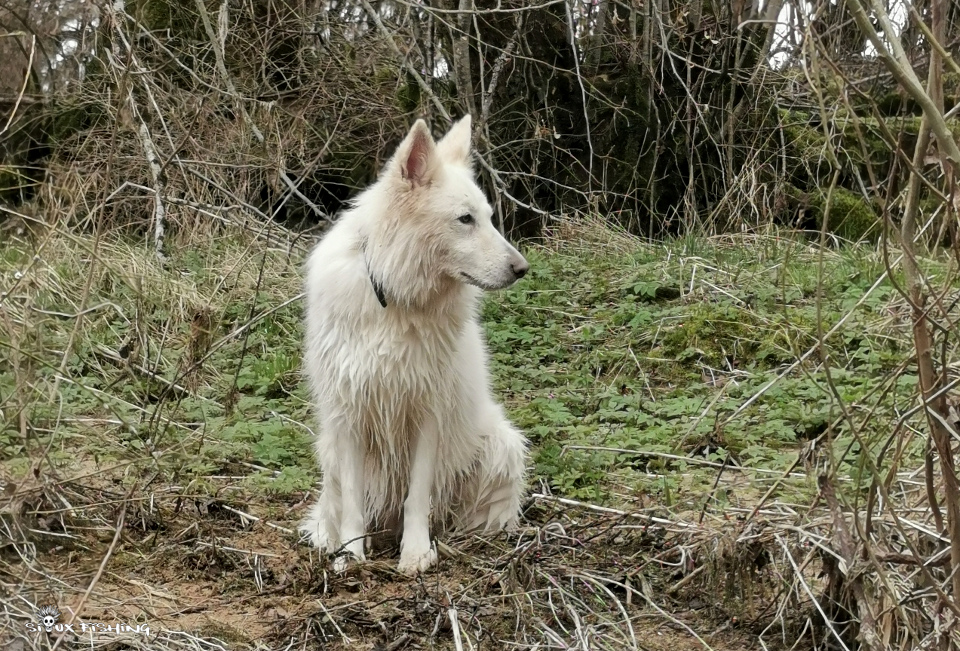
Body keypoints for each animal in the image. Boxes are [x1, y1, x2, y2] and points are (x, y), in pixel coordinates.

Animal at [298, 114, 528, 572]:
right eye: (465, 219)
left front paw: (417, 552)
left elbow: (417, 497)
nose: (522, 268)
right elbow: (353, 503)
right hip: (329, 452)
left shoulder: (427, 413)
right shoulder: (350, 415)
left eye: (489, 218)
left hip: (501, 445)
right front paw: (351, 555)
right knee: (336, 506)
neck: (396, 299)